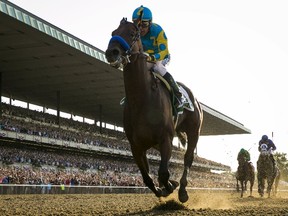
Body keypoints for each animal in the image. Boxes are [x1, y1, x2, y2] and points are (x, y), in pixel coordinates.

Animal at [105, 18, 202, 202]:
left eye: (132, 33)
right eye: (113, 32)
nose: (111, 52)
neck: (142, 99)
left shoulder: (165, 139)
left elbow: (163, 173)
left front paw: (171, 186)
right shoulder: (136, 146)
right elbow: (147, 177)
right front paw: (164, 189)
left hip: (194, 130)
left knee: (188, 158)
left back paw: (182, 190)